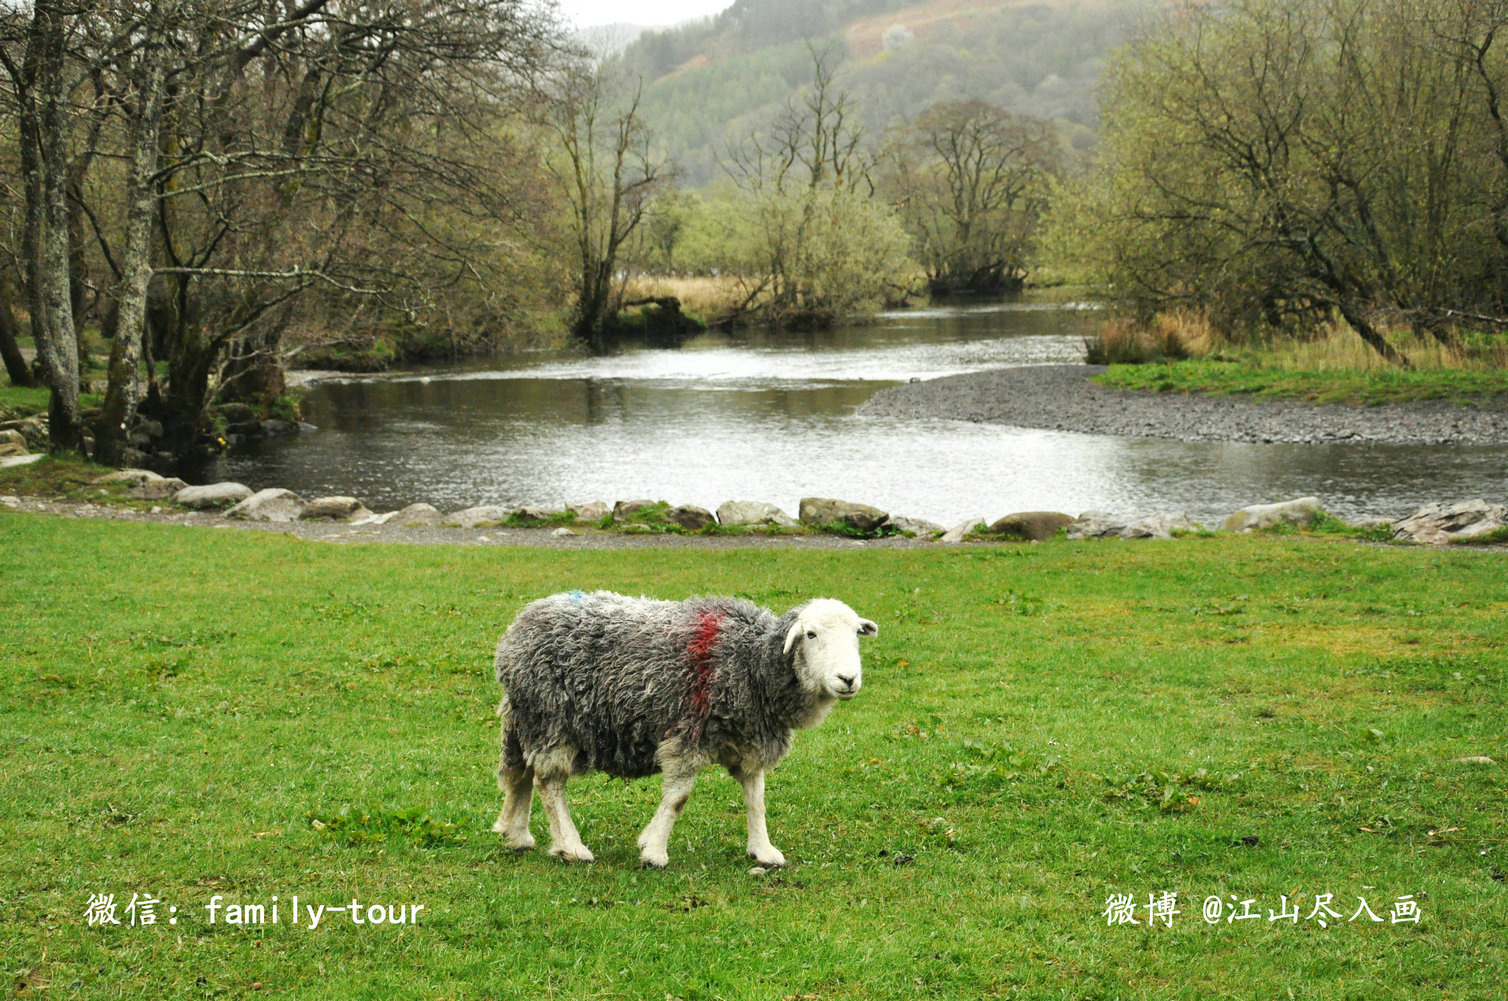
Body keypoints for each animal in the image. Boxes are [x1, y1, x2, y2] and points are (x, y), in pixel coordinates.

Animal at [488, 590, 880, 862]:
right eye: (811, 634)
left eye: (857, 634)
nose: (848, 679)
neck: (750, 662)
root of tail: (520, 625)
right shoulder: (687, 734)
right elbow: (678, 799)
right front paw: (654, 851)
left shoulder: (750, 737)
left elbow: (756, 799)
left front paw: (764, 851)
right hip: (551, 718)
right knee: (549, 782)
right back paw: (571, 847)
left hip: (526, 718)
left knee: (521, 773)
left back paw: (516, 833)